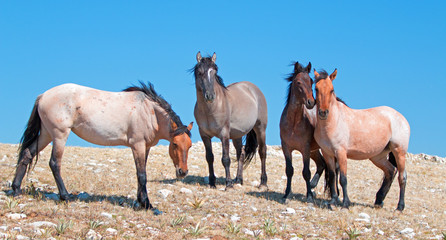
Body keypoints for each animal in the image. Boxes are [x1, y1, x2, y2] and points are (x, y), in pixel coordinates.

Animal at [11, 81, 193, 213]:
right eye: (175, 144)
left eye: (190, 146)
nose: (182, 172)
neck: (149, 112)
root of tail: (43, 96)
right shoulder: (137, 145)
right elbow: (142, 175)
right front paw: (147, 204)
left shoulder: (145, 147)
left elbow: (140, 174)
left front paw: (140, 201)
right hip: (59, 135)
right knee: (54, 163)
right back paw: (65, 196)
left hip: (46, 134)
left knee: (27, 154)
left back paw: (16, 189)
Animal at [193, 51, 268, 188]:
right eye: (200, 72)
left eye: (214, 72)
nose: (210, 96)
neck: (210, 109)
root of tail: (253, 88)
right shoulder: (204, 135)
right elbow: (209, 157)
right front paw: (212, 182)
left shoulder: (224, 134)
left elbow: (226, 159)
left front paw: (228, 184)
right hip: (237, 134)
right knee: (241, 154)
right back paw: (238, 179)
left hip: (261, 128)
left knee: (262, 152)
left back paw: (263, 183)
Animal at [280, 61, 330, 202]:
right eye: (298, 82)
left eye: (311, 81)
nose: (311, 102)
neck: (293, 123)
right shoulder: (286, 148)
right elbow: (289, 170)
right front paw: (286, 194)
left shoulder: (305, 149)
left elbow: (306, 172)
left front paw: (309, 196)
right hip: (314, 151)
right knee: (321, 164)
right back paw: (313, 186)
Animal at [312, 69, 410, 210]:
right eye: (316, 88)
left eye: (331, 90)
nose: (323, 112)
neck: (333, 121)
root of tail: (401, 117)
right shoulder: (328, 153)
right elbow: (332, 177)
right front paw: (333, 201)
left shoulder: (341, 153)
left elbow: (343, 179)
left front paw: (345, 203)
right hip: (378, 156)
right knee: (391, 171)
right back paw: (379, 201)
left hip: (399, 152)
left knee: (402, 177)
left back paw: (400, 207)